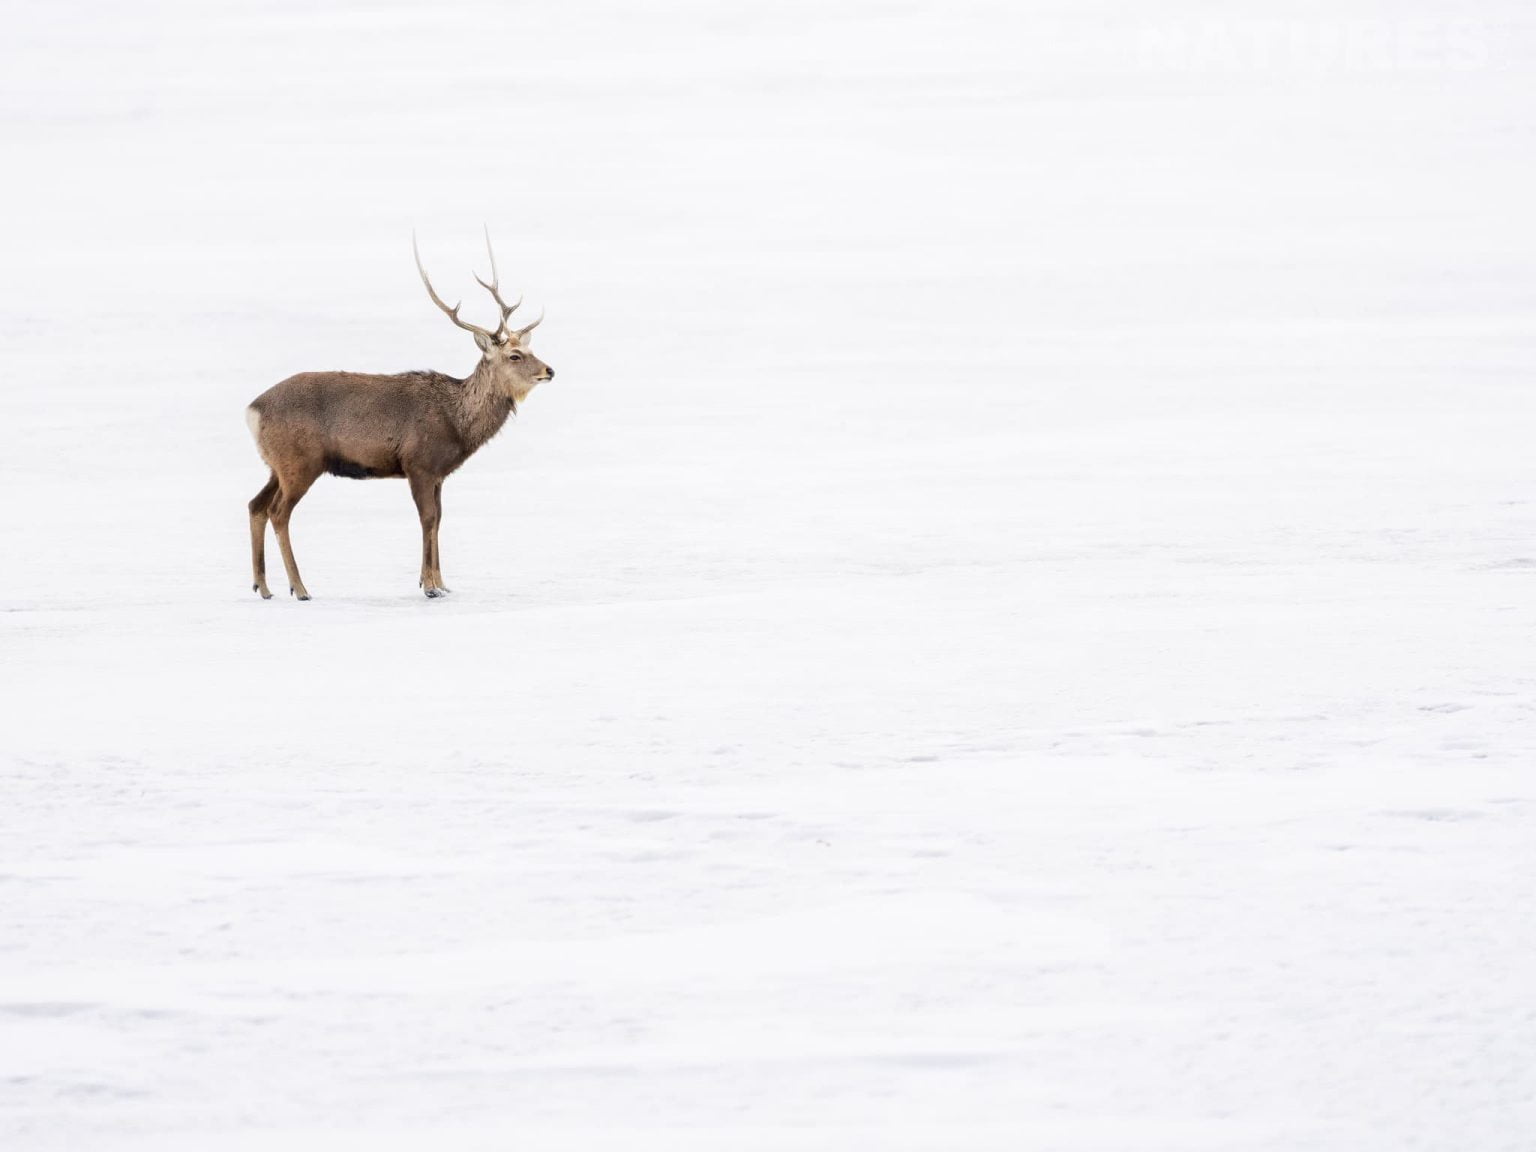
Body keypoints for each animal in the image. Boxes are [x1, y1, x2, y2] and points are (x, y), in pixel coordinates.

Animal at [244, 232, 553, 600]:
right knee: (278, 512)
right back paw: (300, 588)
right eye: (515, 355)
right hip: (300, 461)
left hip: (276, 464)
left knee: (255, 505)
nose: (549, 371)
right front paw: (430, 586)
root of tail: (252, 410)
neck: (457, 423)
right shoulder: (418, 463)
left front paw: (441, 583)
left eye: (532, 350)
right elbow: (427, 519)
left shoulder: (438, 473)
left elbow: (439, 520)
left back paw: (263, 587)